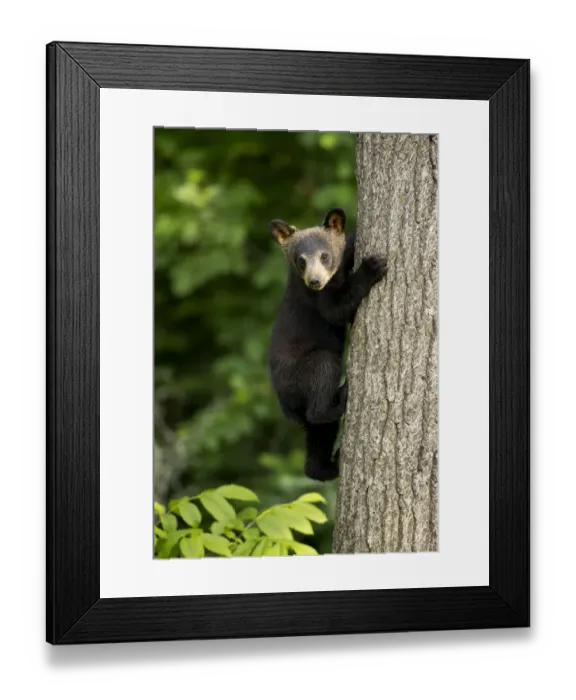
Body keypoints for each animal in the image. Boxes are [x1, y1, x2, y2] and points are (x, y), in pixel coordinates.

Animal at [267, 208, 388, 481]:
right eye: (301, 260)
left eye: (324, 255)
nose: (314, 280)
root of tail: (285, 406)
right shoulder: (316, 299)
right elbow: (336, 310)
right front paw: (372, 267)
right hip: (305, 371)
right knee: (322, 385)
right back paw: (342, 398)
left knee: (318, 434)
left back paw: (326, 466)